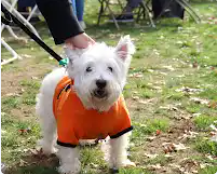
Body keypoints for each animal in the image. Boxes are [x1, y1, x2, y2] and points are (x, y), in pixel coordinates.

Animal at [36, 35, 136, 174]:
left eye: (110, 68)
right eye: (88, 69)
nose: (101, 82)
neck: (96, 107)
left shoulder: (120, 127)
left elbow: (118, 147)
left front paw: (120, 163)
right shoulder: (67, 130)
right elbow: (68, 152)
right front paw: (70, 168)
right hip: (48, 115)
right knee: (48, 133)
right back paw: (48, 149)